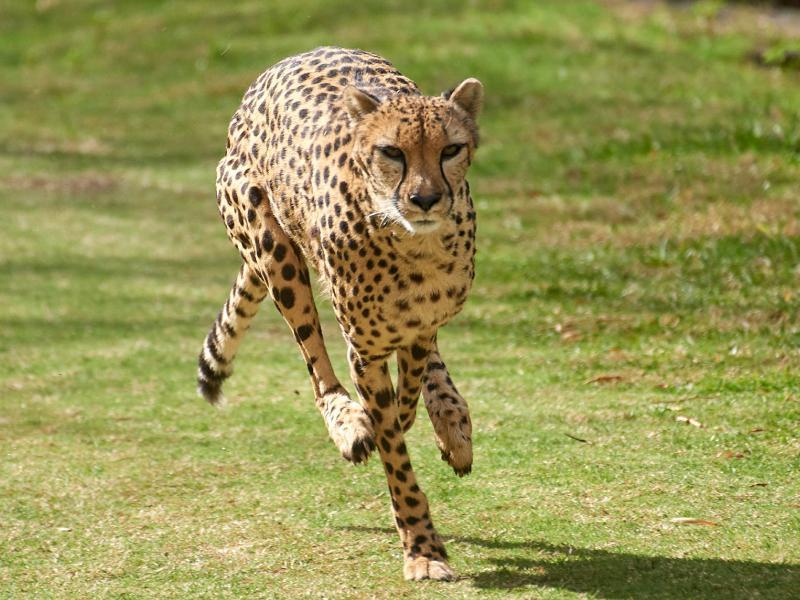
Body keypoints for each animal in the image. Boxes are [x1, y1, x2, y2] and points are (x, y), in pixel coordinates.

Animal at [197, 46, 482, 581]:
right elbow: (394, 449)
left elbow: (412, 381)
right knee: (316, 366)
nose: (426, 199)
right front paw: (422, 548)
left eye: (450, 149)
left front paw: (436, 418)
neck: (415, 247)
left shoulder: (416, 328)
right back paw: (348, 424)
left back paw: (452, 423)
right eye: (392, 152)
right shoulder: (364, 351)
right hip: (273, 249)